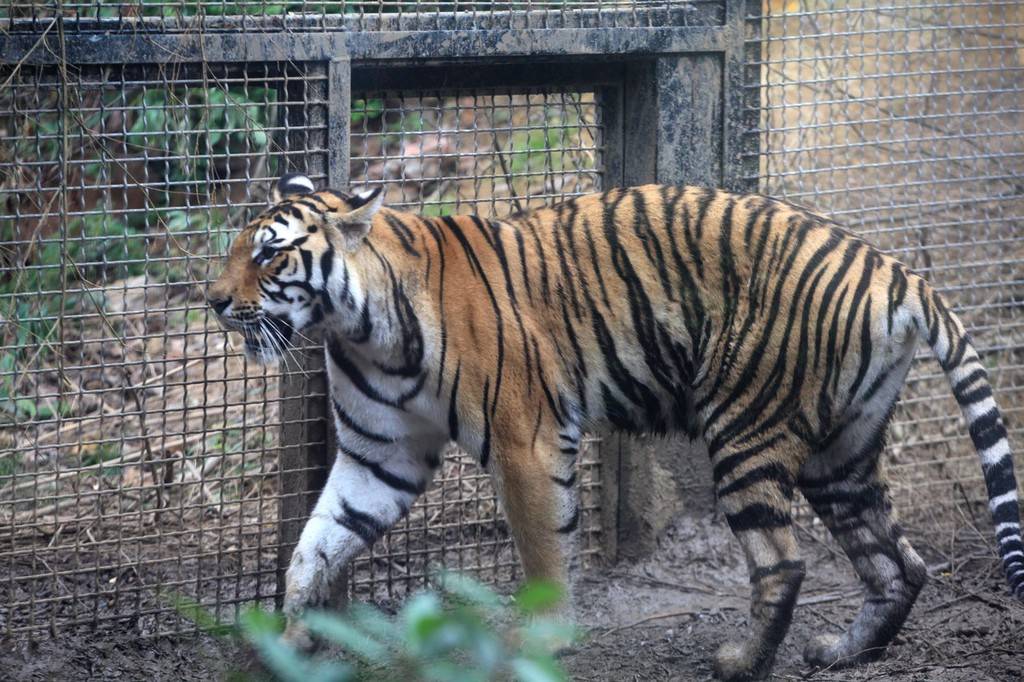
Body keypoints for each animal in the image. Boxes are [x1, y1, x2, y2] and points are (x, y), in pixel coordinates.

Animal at [203, 173, 1019, 675]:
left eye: (270, 254)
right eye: (235, 248)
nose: (211, 301)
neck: (358, 325)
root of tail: (891, 267)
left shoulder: (525, 442)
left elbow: (543, 551)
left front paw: (542, 637)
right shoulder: (380, 455)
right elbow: (313, 550)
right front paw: (288, 641)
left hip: (747, 428)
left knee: (785, 562)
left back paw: (741, 664)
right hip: (841, 453)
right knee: (898, 562)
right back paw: (844, 652)